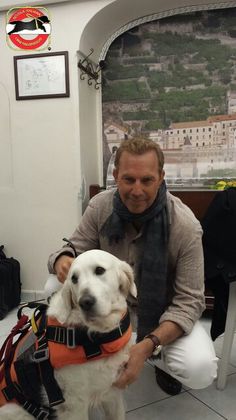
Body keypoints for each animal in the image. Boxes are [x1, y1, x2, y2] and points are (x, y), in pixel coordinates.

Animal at [0, 251, 136, 418]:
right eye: (74, 278)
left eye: (99, 270)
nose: (85, 302)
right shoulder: (76, 405)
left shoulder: (112, 393)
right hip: (13, 409)